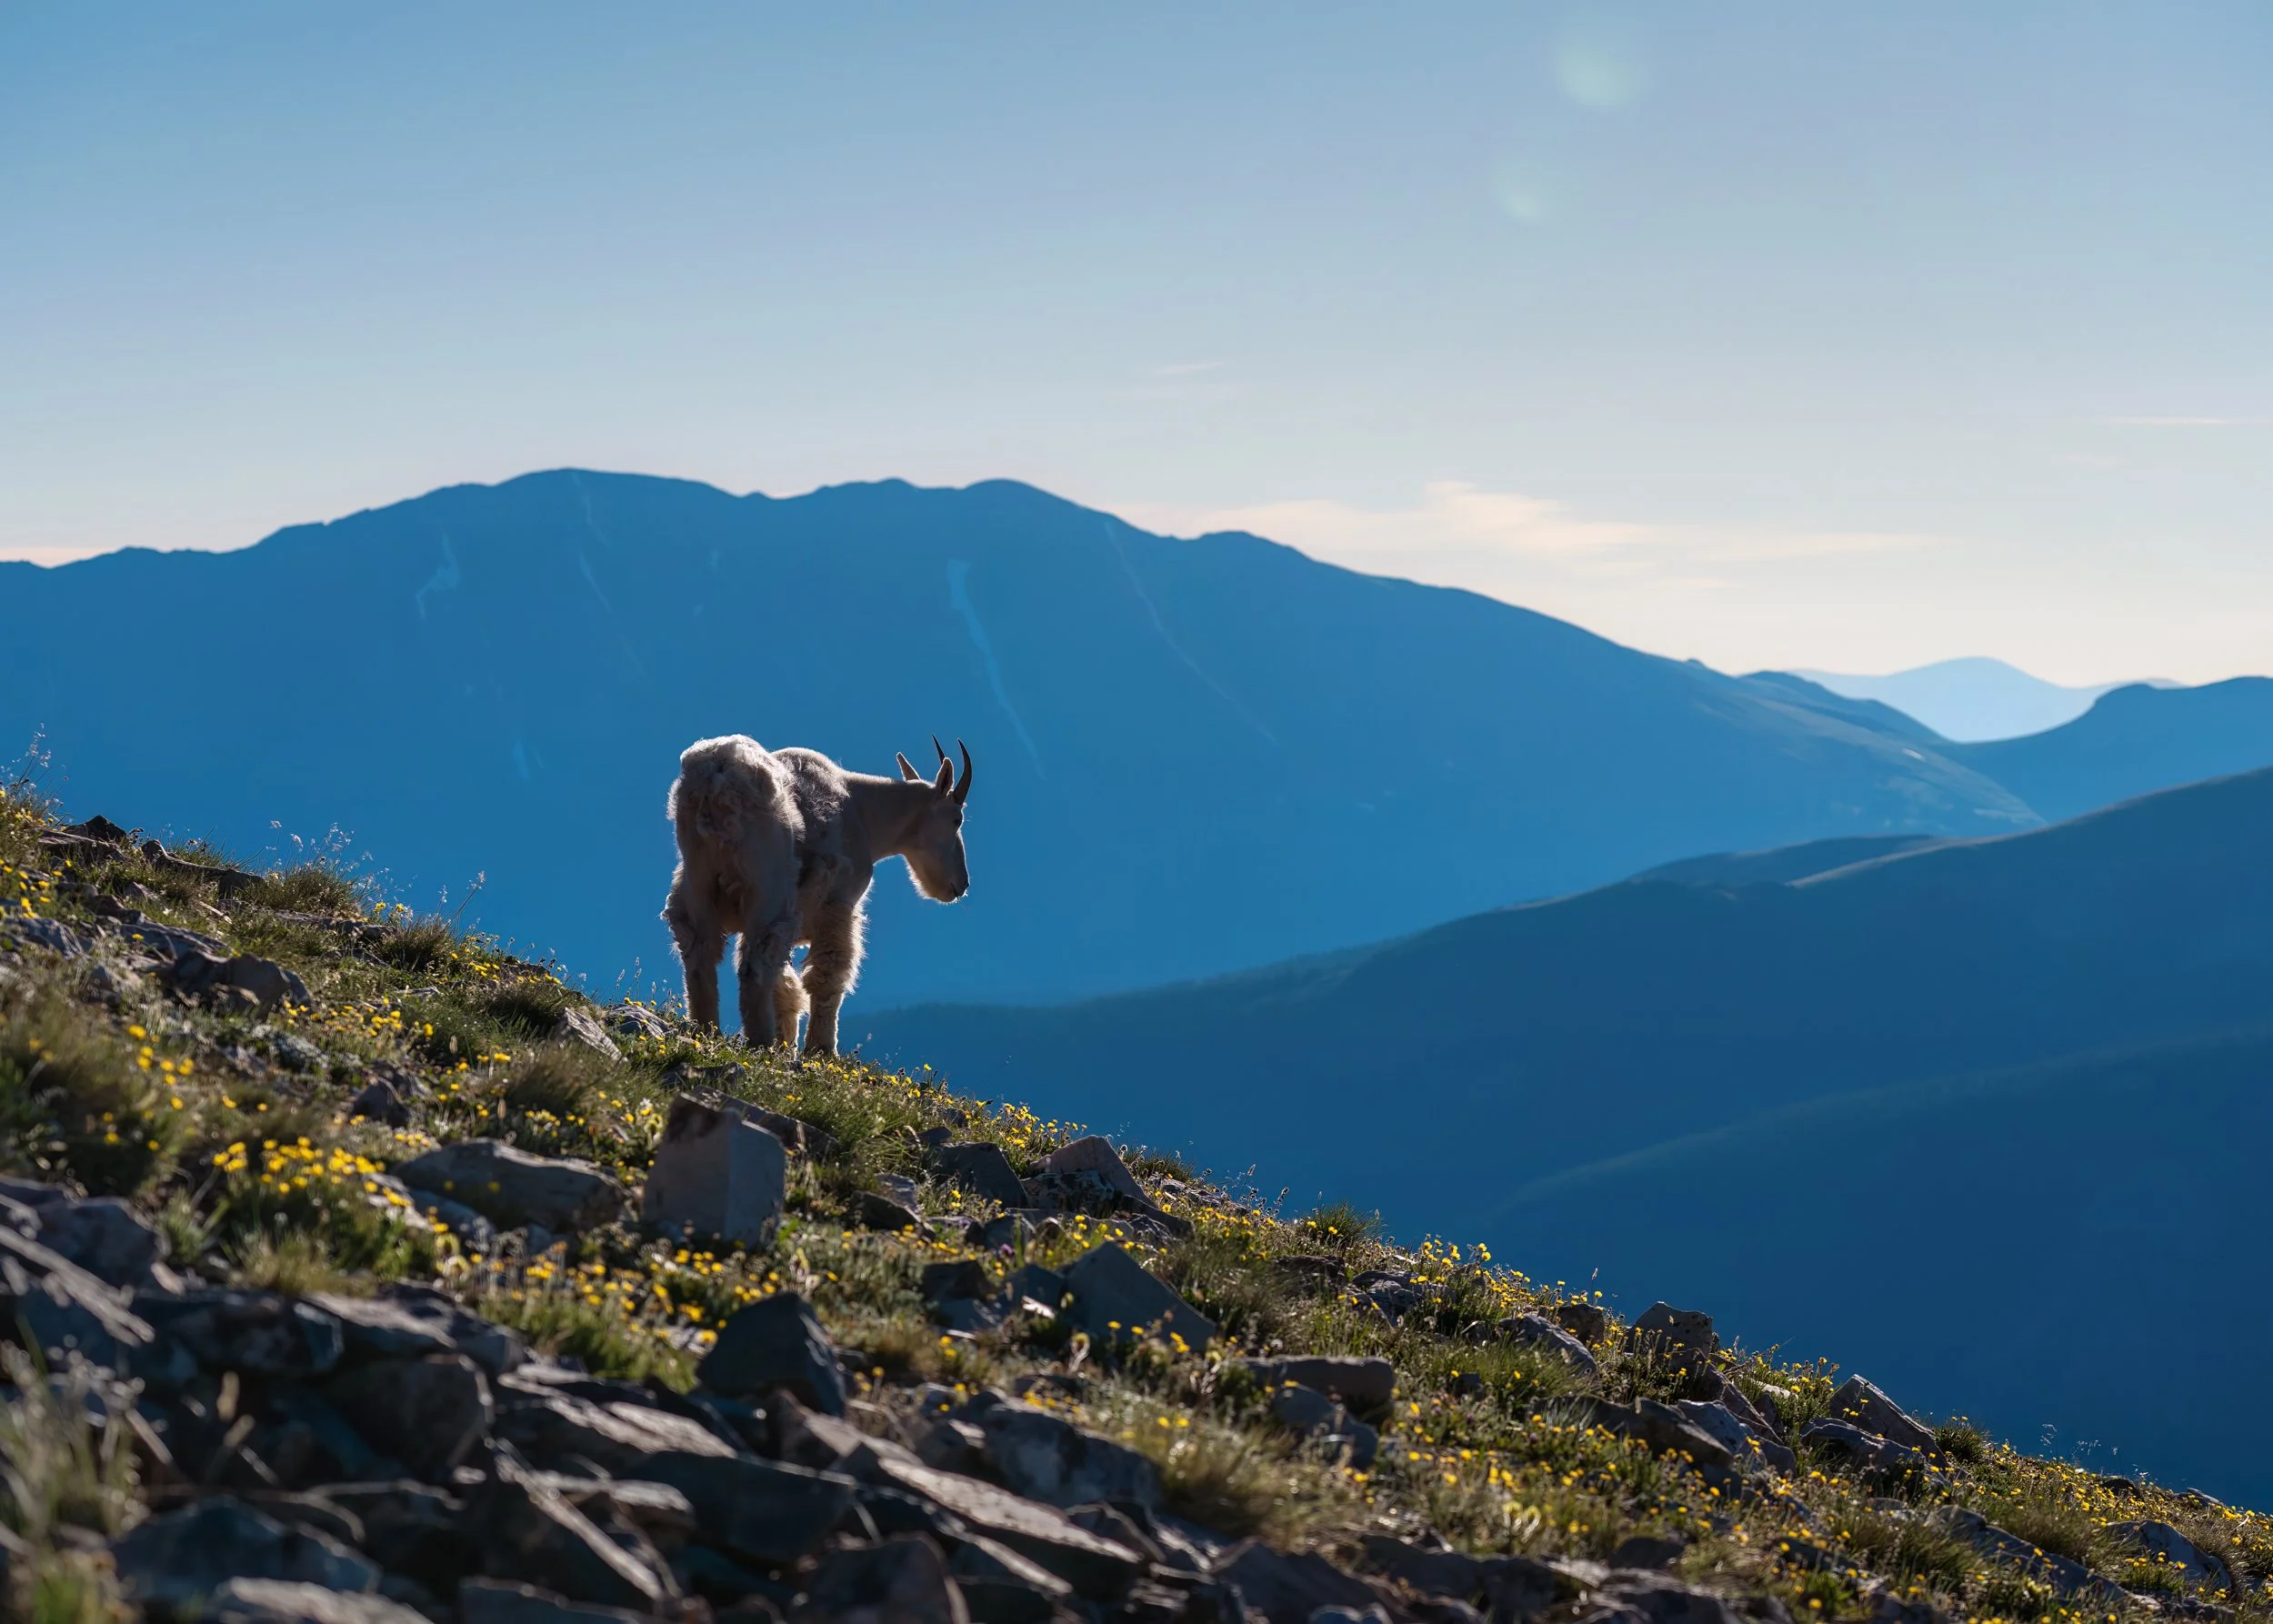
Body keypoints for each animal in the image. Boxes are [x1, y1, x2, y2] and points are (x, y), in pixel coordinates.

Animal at [662, 734, 973, 1054]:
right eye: (957, 819)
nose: (960, 884)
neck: (862, 812)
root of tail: (717, 776)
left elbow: (785, 983)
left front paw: (787, 1044)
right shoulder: (838, 904)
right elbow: (828, 976)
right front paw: (821, 1049)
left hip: (698, 881)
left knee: (700, 954)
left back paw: (705, 1031)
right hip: (768, 888)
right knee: (754, 963)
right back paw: (760, 1042)